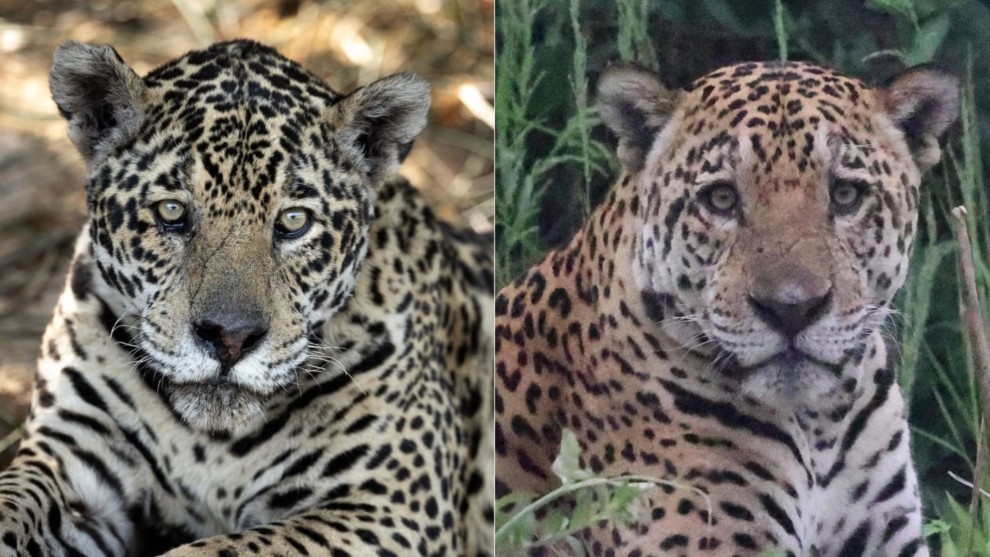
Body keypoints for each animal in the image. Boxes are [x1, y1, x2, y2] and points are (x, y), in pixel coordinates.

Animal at [0, 39, 494, 557]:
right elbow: (10, 505)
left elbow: (228, 547)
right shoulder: (69, 455)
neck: (210, 442)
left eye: (294, 220)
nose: (229, 338)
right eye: (171, 211)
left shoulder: (394, 506)